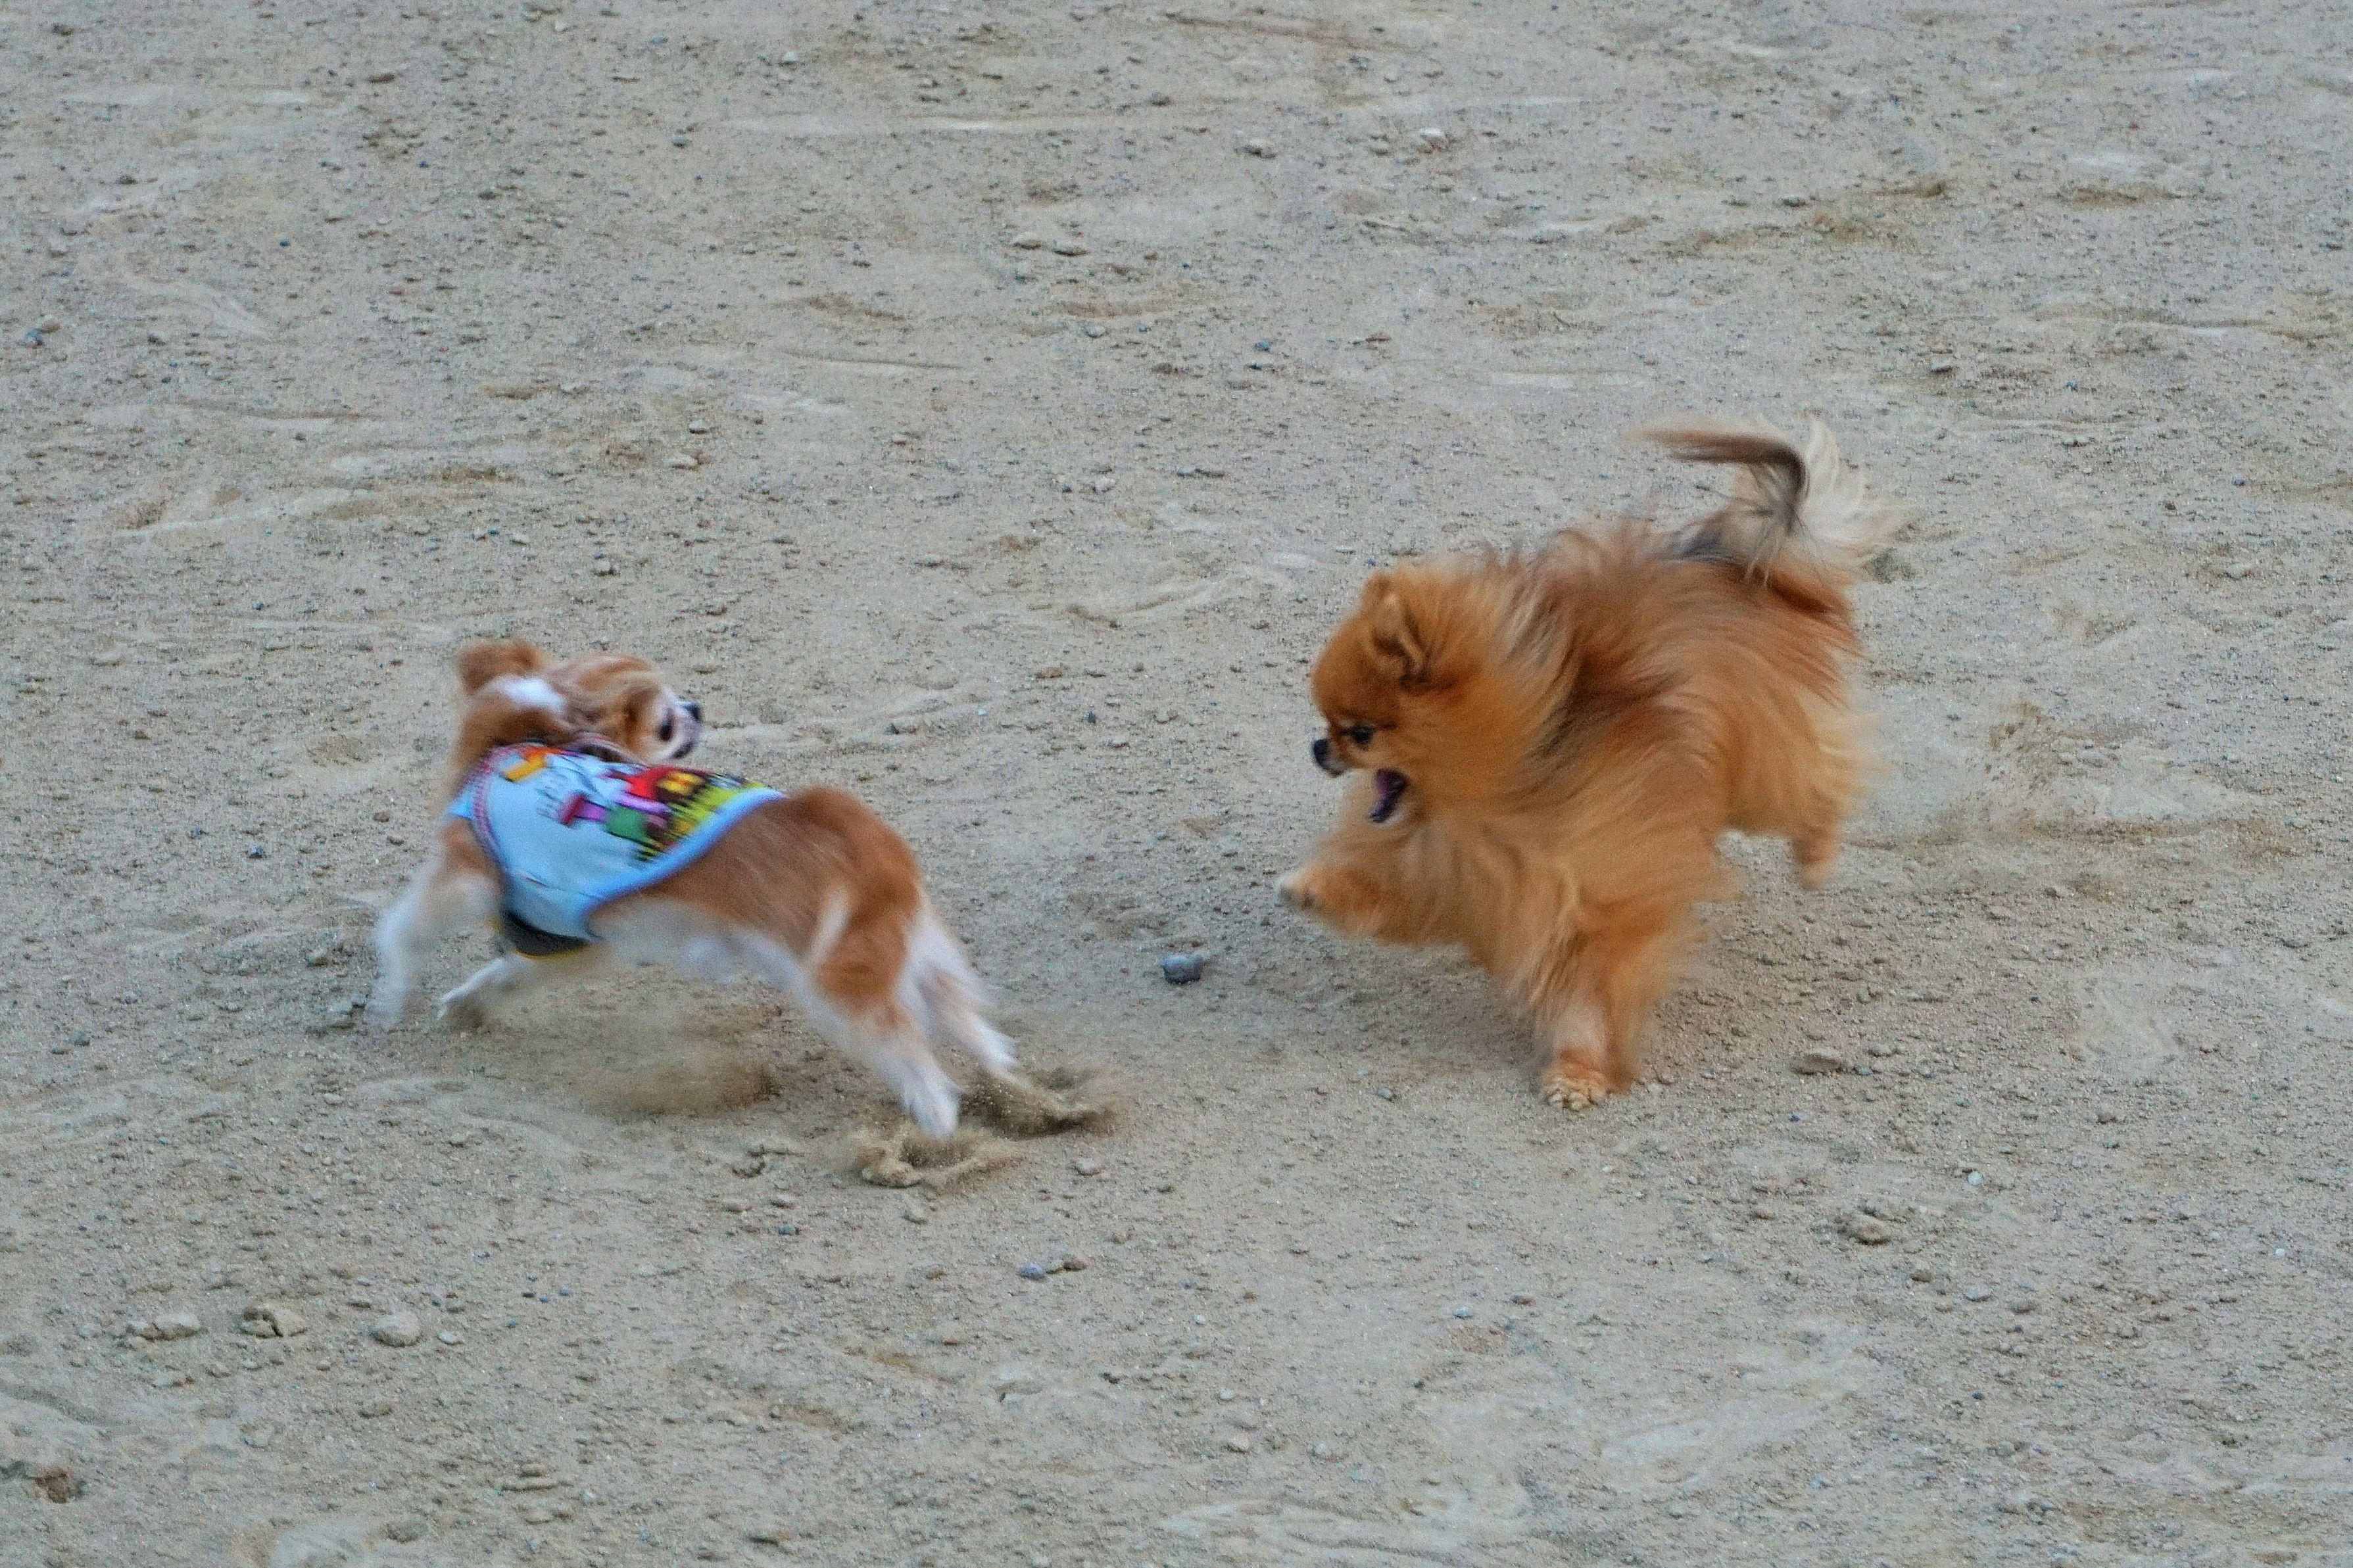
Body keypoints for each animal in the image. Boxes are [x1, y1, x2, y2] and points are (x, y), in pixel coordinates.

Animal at [365, 640, 1020, 1137]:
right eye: (665, 724)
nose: (697, 705)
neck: (519, 742)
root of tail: (863, 840)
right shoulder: (576, 939)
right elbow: (508, 974)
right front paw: (468, 1005)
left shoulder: (470, 879)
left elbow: (405, 931)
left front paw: (391, 1000)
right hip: (913, 952)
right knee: (967, 1022)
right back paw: (1011, 1086)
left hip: (842, 991)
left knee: (919, 1064)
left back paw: (936, 1125)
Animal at [1278, 421, 1890, 1110]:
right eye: (1330, 723)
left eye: (1361, 731)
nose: (1318, 747)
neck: (1496, 791)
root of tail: (1736, 564)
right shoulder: (1437, 863)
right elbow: (1376, 883)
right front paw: (1310, 887)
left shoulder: (1599, 896)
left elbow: (1589, 994)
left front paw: (1579, 1071)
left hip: (1764, 762)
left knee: (1820, 783)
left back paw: (1816, 858)